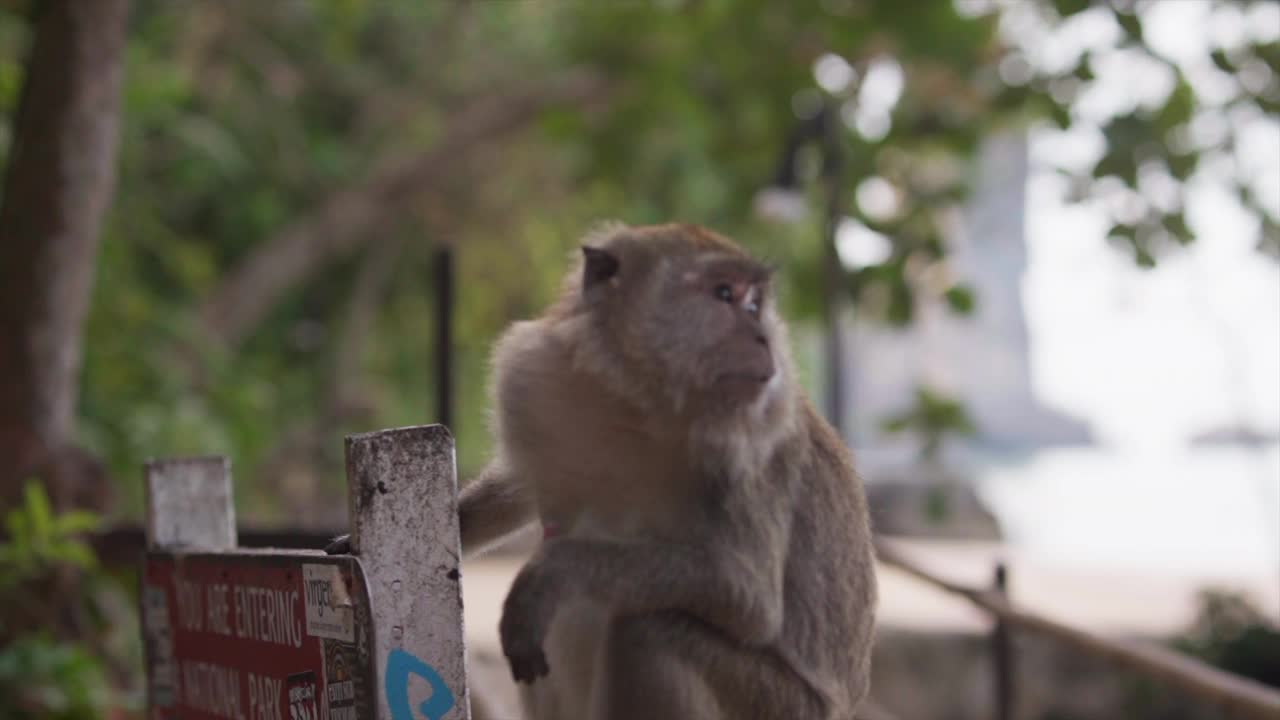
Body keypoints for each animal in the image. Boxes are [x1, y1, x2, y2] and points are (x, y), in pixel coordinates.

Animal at [327, 222, 880, 717]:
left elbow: (746, 590)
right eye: (725, 294)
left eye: (753, 304)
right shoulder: (538, 379)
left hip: (781, 707)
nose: (763, 338)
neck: (638, 403)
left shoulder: (756, 439)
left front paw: (553, 574)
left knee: (650, 633)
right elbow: (520, 488)